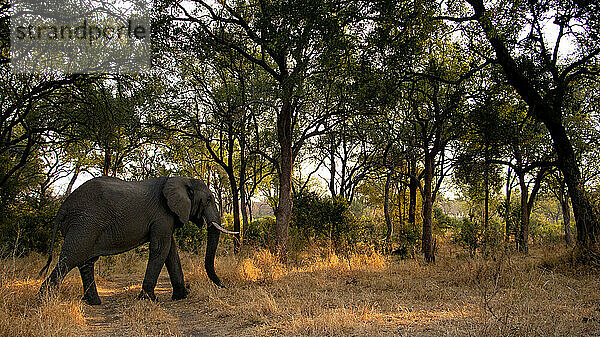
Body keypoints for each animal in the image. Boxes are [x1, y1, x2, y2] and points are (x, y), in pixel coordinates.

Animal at [38, 176, 237, 304]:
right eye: (209, 199)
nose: (225, 286)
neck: (181, 179)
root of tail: (62, 207)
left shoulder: (166, 217)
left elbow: (170, 251)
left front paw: (181, 296)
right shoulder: (162, 214)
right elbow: (161, 248)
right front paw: (149, 300)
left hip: (84, 224)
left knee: (86, 262)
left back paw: (94, 302)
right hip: (85, 223)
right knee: (71, 258)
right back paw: (43, 300)